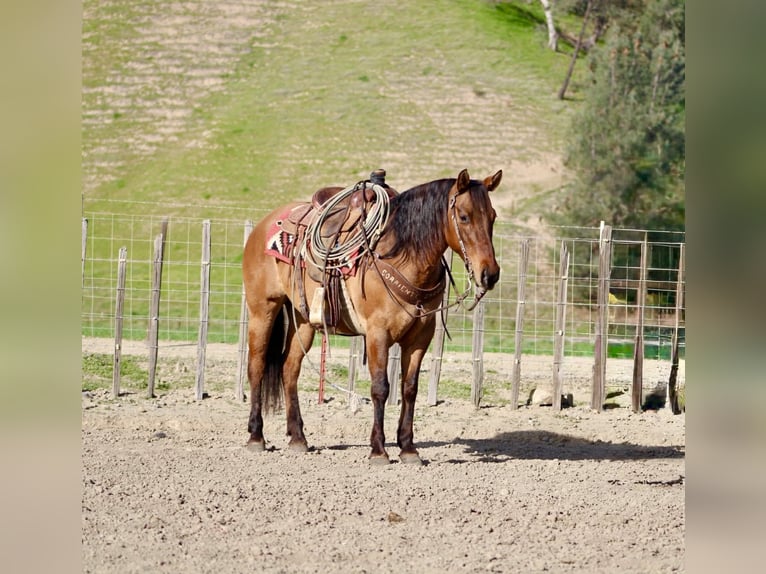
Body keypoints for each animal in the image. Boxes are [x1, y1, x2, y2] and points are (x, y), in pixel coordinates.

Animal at [242, 168, 502, 464]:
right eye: (464, 216)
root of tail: (265, 224)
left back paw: (298, 437)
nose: (490, 274)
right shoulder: (378, 334)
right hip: (263, 310)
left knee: (289, 369)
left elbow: (409, 388)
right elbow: (381, 388)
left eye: (492, 216)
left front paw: (408, 448)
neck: (400, 254)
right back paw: (256, 436)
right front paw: (378, 449)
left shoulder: (420, 337)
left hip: (304, 319)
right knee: (257, 366)